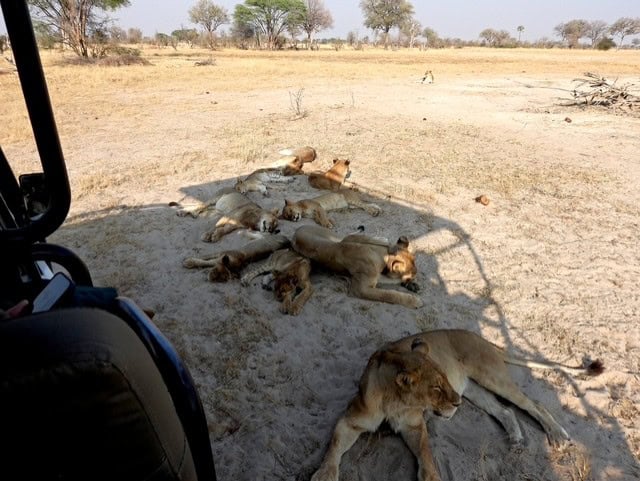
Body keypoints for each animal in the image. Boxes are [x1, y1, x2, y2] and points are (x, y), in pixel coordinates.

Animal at [292, 225, 421, 309]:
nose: (411, 280)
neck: (382, 255)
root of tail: (296, 231)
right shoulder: (360, 289)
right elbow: (389, 294)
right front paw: (414, 300)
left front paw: (412, 285)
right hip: (339, 239)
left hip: (341, 239)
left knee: (353, 236)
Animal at [311, 329, 604, 481]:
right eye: (436, 388)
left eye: (443, 381)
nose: (457, 403)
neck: (392, 400)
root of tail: (483, 339)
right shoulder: (351, 421)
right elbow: (334, 447)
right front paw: (325, 474)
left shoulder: (414, 425)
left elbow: (426, 453)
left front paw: (431, 477)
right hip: (474, 389)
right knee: (505, 410)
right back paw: (517, 439)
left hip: (491, 377)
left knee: (535, 404)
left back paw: (557, 435)